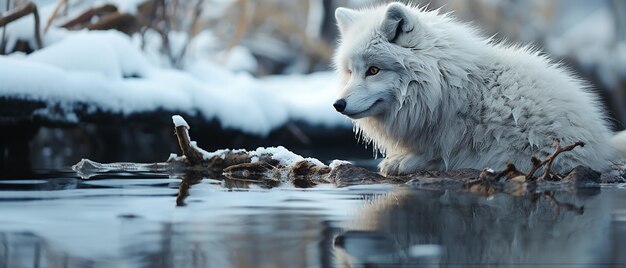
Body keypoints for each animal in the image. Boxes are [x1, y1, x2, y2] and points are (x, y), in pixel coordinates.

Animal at [332, 2, 620, 178]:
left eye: (373, 70)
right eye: (350, 72)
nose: (338, 105)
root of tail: (601, 144)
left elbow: (444, 158)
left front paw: (403, 161)